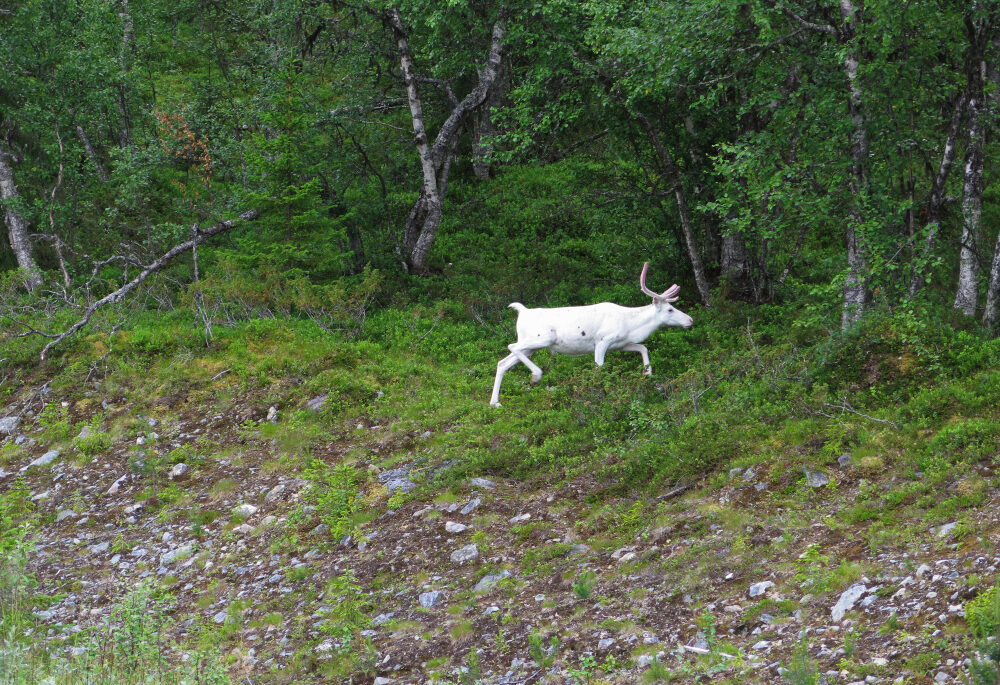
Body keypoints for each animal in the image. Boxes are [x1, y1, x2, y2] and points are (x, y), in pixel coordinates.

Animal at [489, 262, 693, 407]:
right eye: (669, 309)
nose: (690, 320)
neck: (631, 325)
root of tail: (521, 311)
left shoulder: (621, 344)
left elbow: (643, 347)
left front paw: (648, 374)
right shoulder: (602, 341)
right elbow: (599, 368)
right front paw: (600, 393)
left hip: (532, 346)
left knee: (502, 363)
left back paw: (495, 402)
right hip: (542, 338)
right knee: (512, 346)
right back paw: (535, 376)